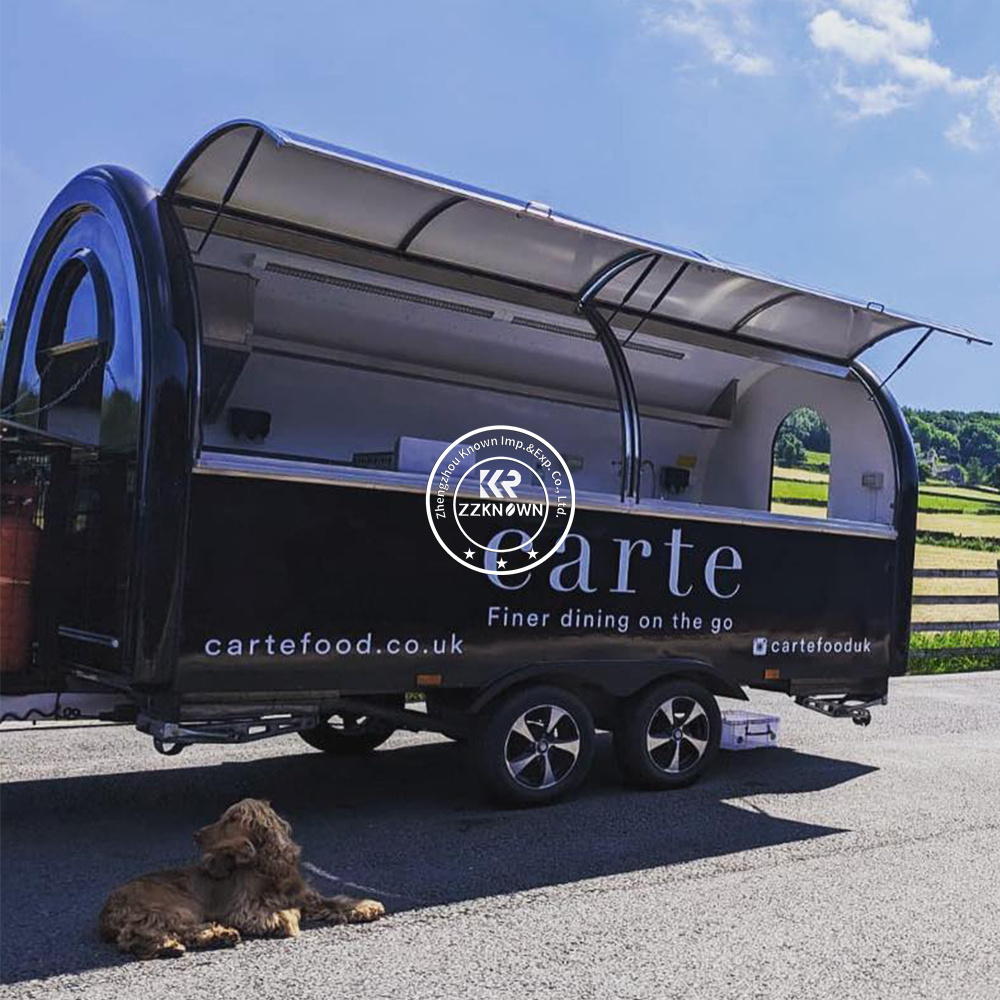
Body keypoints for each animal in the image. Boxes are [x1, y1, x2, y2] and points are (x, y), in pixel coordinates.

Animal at [98, 796, 386, 960]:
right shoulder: (243, 908)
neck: (264, 868)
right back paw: (174, 944)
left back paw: (211, 937)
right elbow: (279, 913)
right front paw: (286, 919)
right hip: (174, 907)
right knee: (135, 935)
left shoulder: (306, 896)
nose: (195, 834)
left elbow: (335, 900)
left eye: (232, 819)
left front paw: (366, 906)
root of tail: (107, 911)